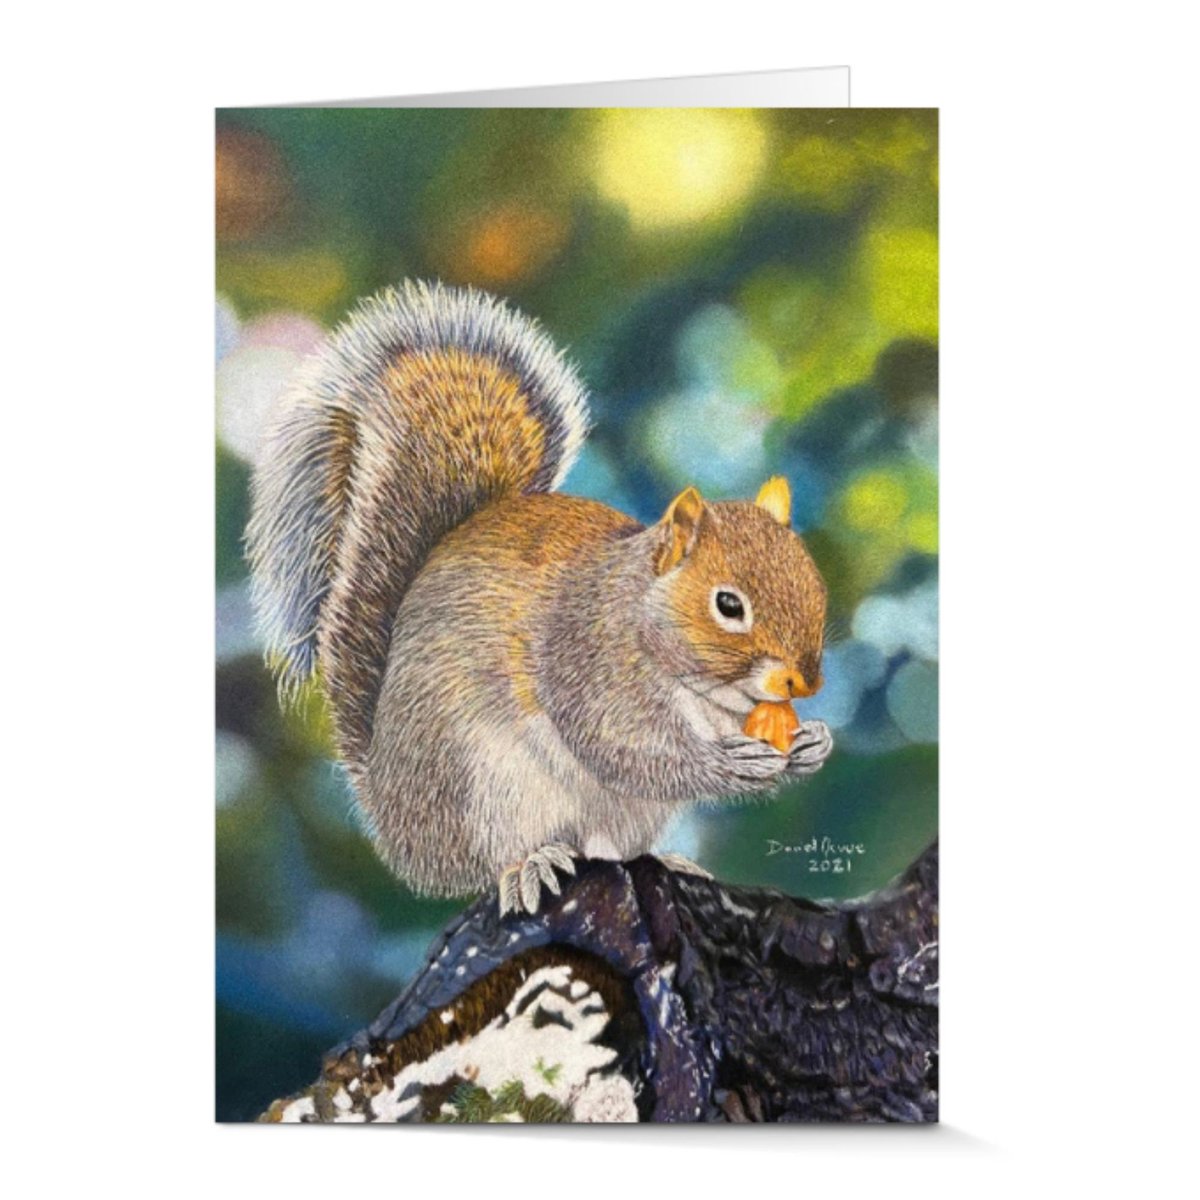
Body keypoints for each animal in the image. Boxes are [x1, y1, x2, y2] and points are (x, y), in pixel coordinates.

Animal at [246, 281, 833, 915]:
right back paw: (531, 865)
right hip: (481, 786)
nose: (805, 683)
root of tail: (394, 818)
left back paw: (667, 860)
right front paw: (729, 762)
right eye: (728, 605)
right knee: (492, 861)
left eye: (816, 585)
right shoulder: (589, 664)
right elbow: (629, 749)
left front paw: (812, 743)